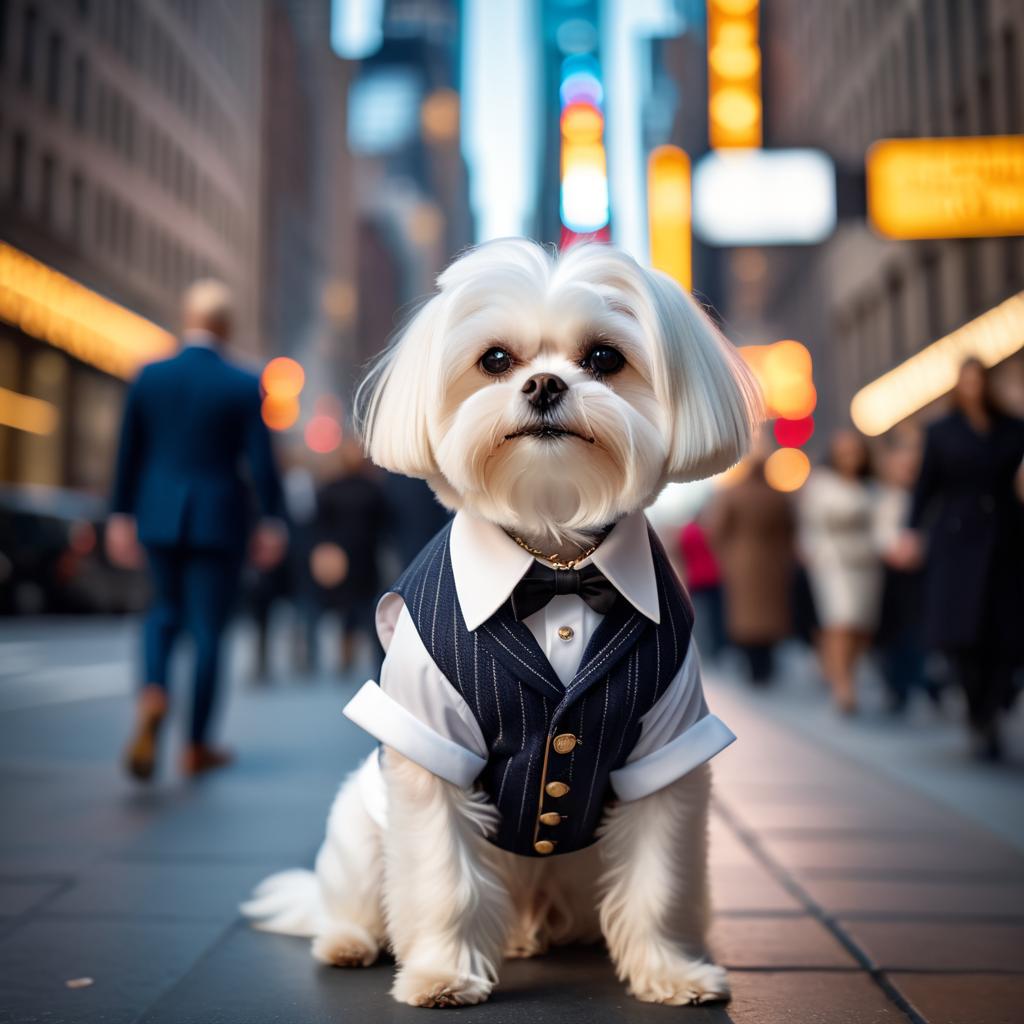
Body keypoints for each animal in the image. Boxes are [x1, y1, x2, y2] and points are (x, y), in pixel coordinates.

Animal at [241, 237, 761, 1007]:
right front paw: (441, 974)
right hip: (360, 828)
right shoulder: (431, 746)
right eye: (495, 360)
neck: (556, 560)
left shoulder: (668, 746)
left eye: (604, 358)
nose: (544, 385)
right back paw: (351, 941)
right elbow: (445, 880)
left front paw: (672, 971)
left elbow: (660, 880)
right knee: (356, 899)